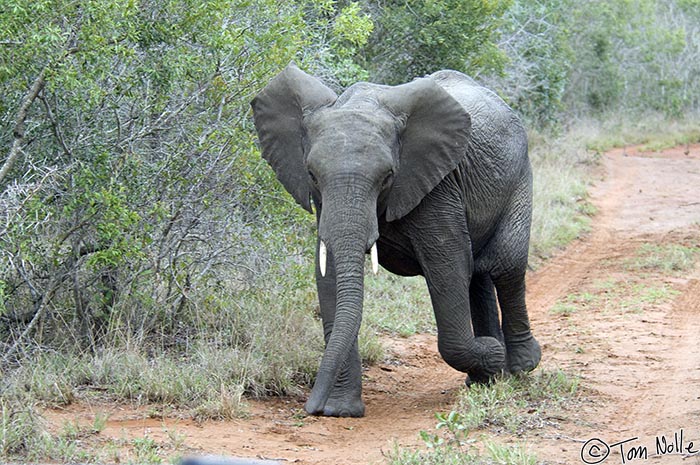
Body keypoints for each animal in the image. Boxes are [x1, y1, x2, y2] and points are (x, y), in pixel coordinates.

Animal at [252, 62, 540, 416]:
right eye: (312, 175)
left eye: (388, 176)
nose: (311, 408)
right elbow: (329, 276)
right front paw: (342, 411)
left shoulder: (439, 186)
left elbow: (447, 268)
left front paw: (491, 354)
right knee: (480, 274)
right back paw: (487, 377)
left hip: (520, 177)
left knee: (504, 265)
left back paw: (519, 366)